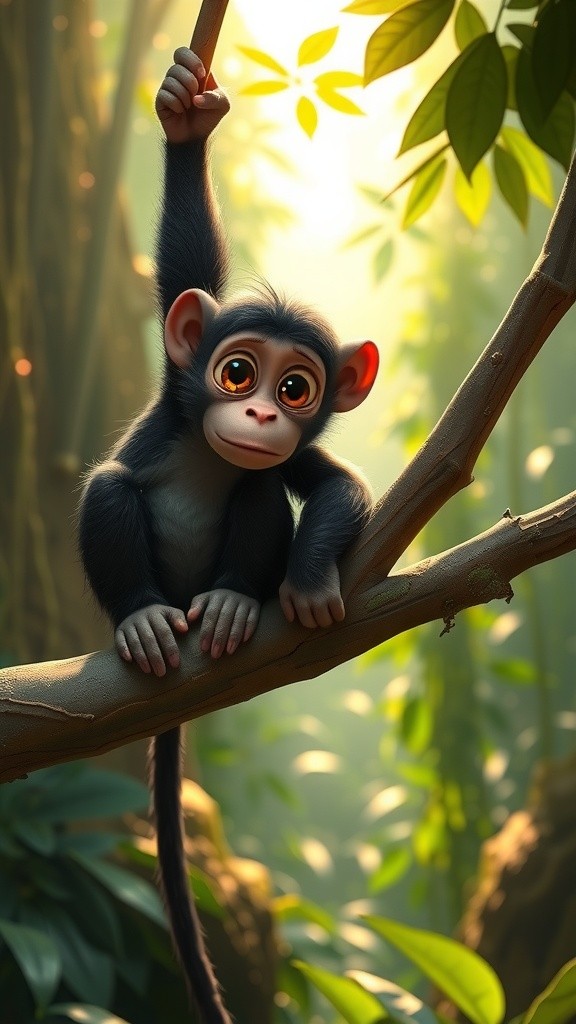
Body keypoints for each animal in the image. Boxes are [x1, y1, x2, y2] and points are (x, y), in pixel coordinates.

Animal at [78, 47, 379, 1024]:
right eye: (238, 371)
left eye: (296, 388)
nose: (256, 413)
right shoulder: (178, 386)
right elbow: (184, 269)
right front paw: (185, 120)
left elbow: (336, 487)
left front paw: (312, 582)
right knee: (111, 489)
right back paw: (144, 617)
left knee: (257, 493)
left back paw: (234, 604)